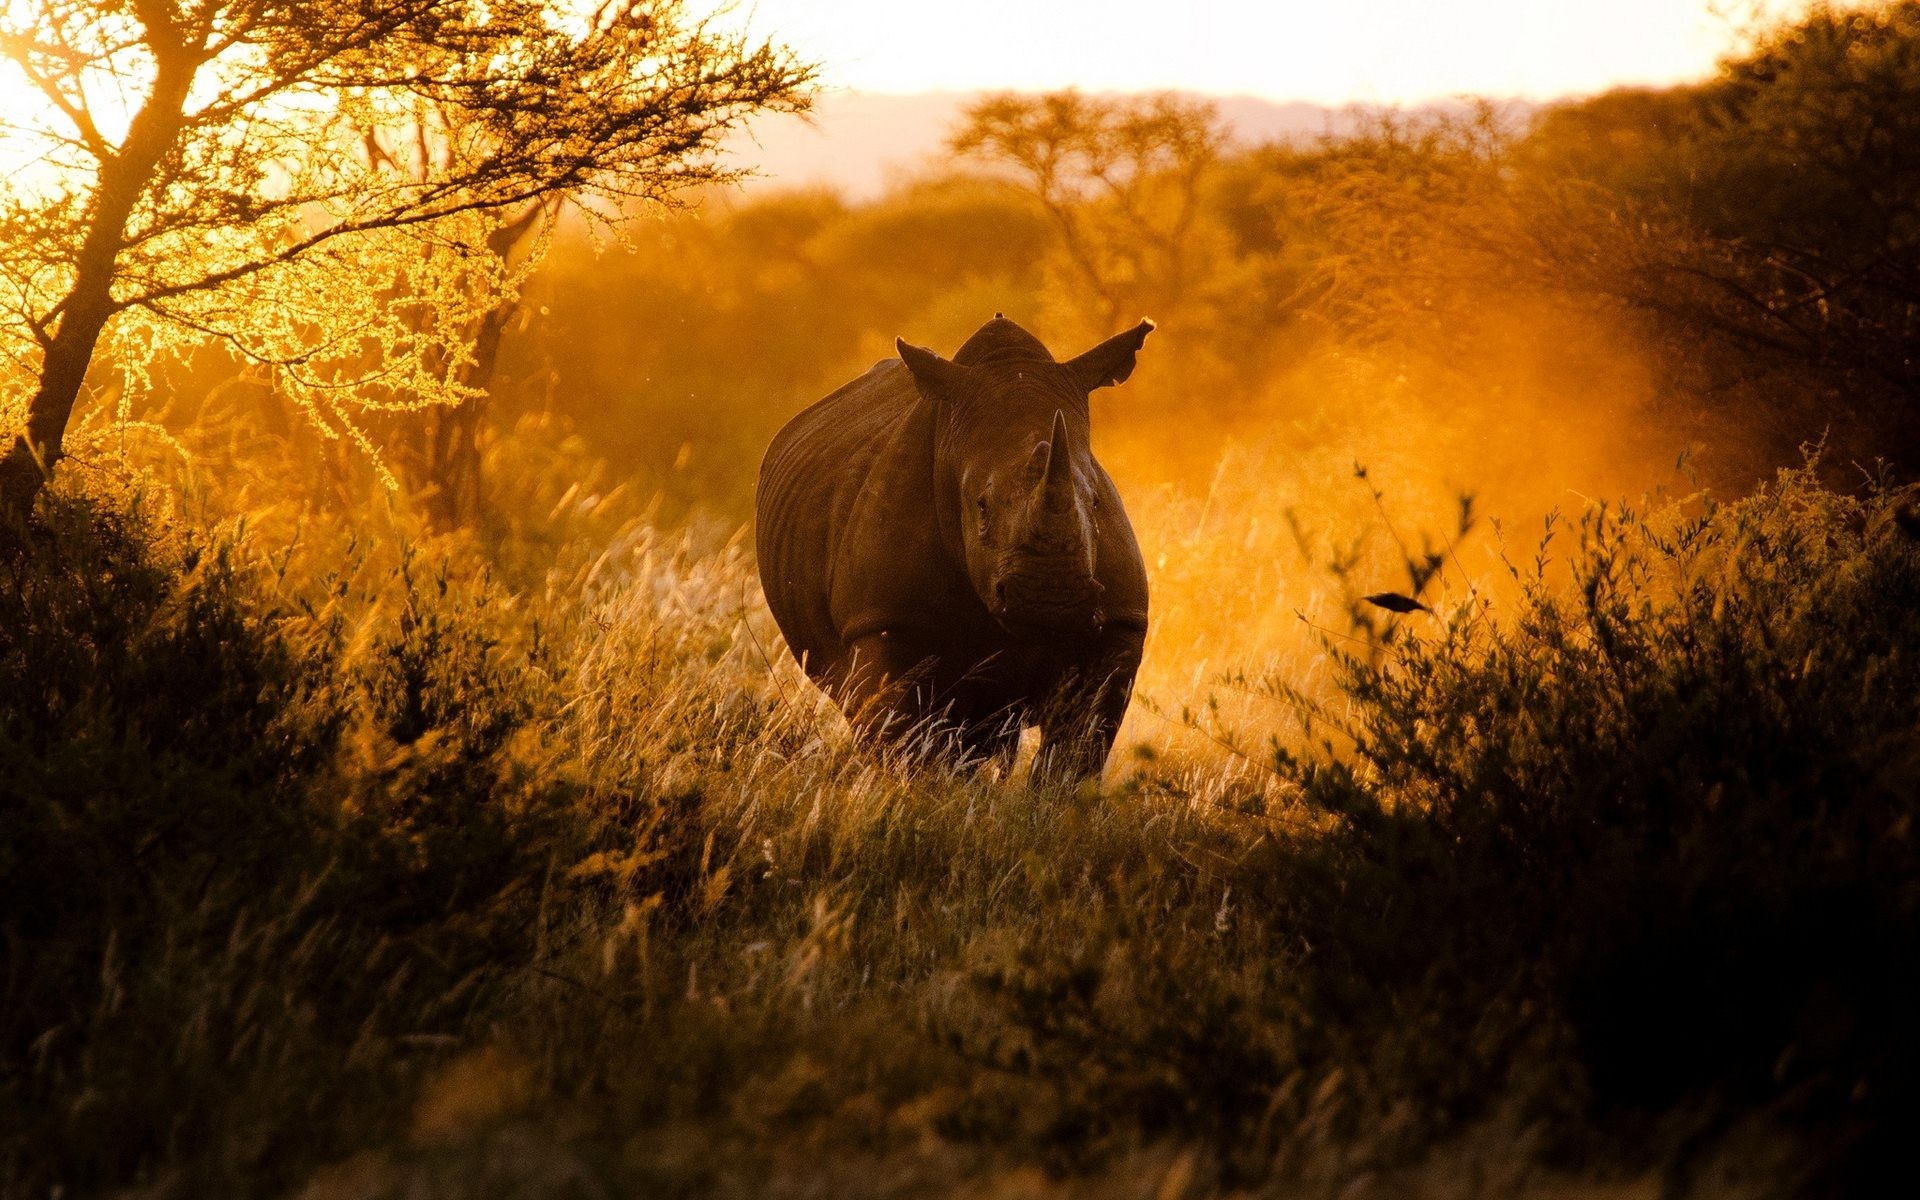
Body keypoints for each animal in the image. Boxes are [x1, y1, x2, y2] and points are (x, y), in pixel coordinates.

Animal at [756, 315, 1154, 785]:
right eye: (980, 505)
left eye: (1094, 503)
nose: (1050, 598)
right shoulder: (882, 618)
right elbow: (905, 737)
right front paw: (918, 792)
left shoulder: (1119, 622)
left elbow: (1080, 745)